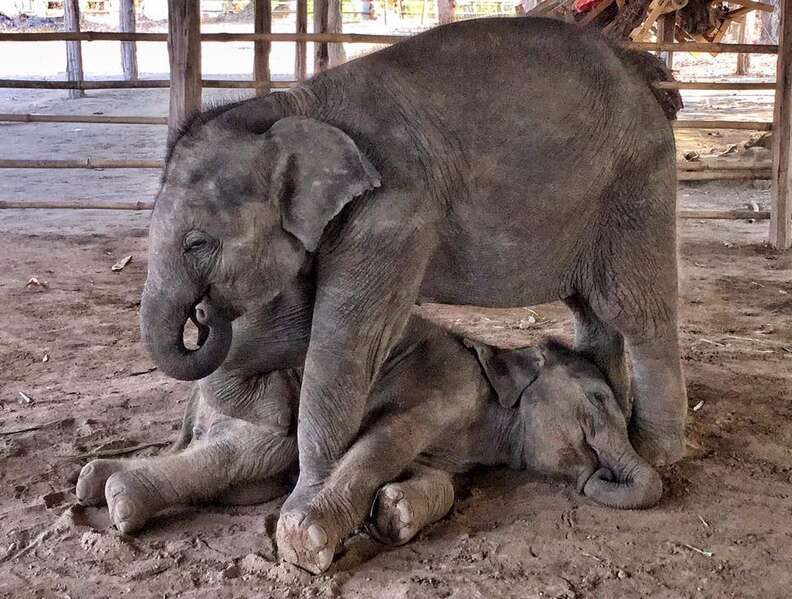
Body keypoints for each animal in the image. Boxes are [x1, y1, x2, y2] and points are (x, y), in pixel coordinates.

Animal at [77, 316, 664, 576]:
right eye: (598, 399)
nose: (598, 473)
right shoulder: (440, 383)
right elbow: (383, 441)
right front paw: (307, 542)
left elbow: (440, 480)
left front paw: (396, 514)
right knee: (263, 447)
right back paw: (119, 498)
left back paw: (94, 482)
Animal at [141, 16, 688, 568]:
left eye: (197, 243)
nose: (204, 314)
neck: (289, 105)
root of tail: (637, 67)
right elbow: (297, 324)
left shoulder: (392, 213)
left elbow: (344, 342)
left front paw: (304, 515)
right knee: (590, 309)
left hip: (638, 186)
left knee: (635, 310)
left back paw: (657, 450)